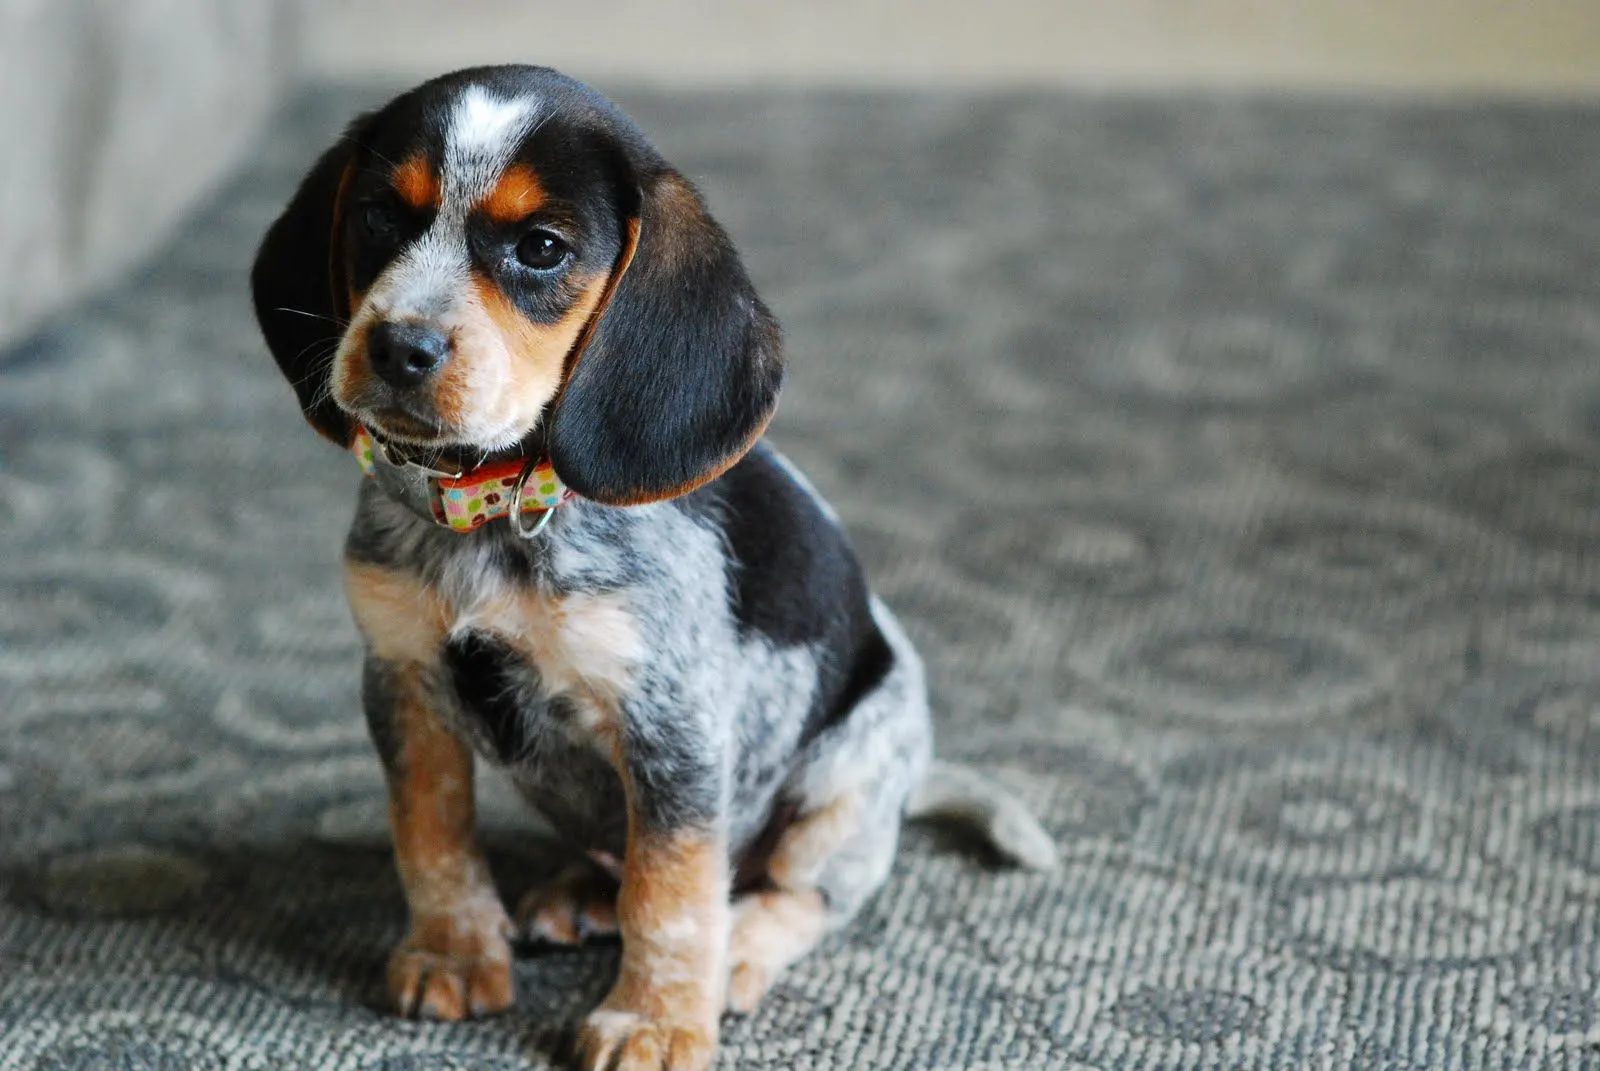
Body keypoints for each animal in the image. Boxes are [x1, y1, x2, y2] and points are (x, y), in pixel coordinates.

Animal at [249, 64, 1049, 1069]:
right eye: (377, 219)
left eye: (542, 249)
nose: (399, 345)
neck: (493, 511)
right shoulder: (403, 680)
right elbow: (431, 835)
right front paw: (452, 951)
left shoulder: (672, 725)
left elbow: (670, 893)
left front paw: (657, 1018)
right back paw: (577, 892)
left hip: (848, 783)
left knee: (799, 893)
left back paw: (739, 947)